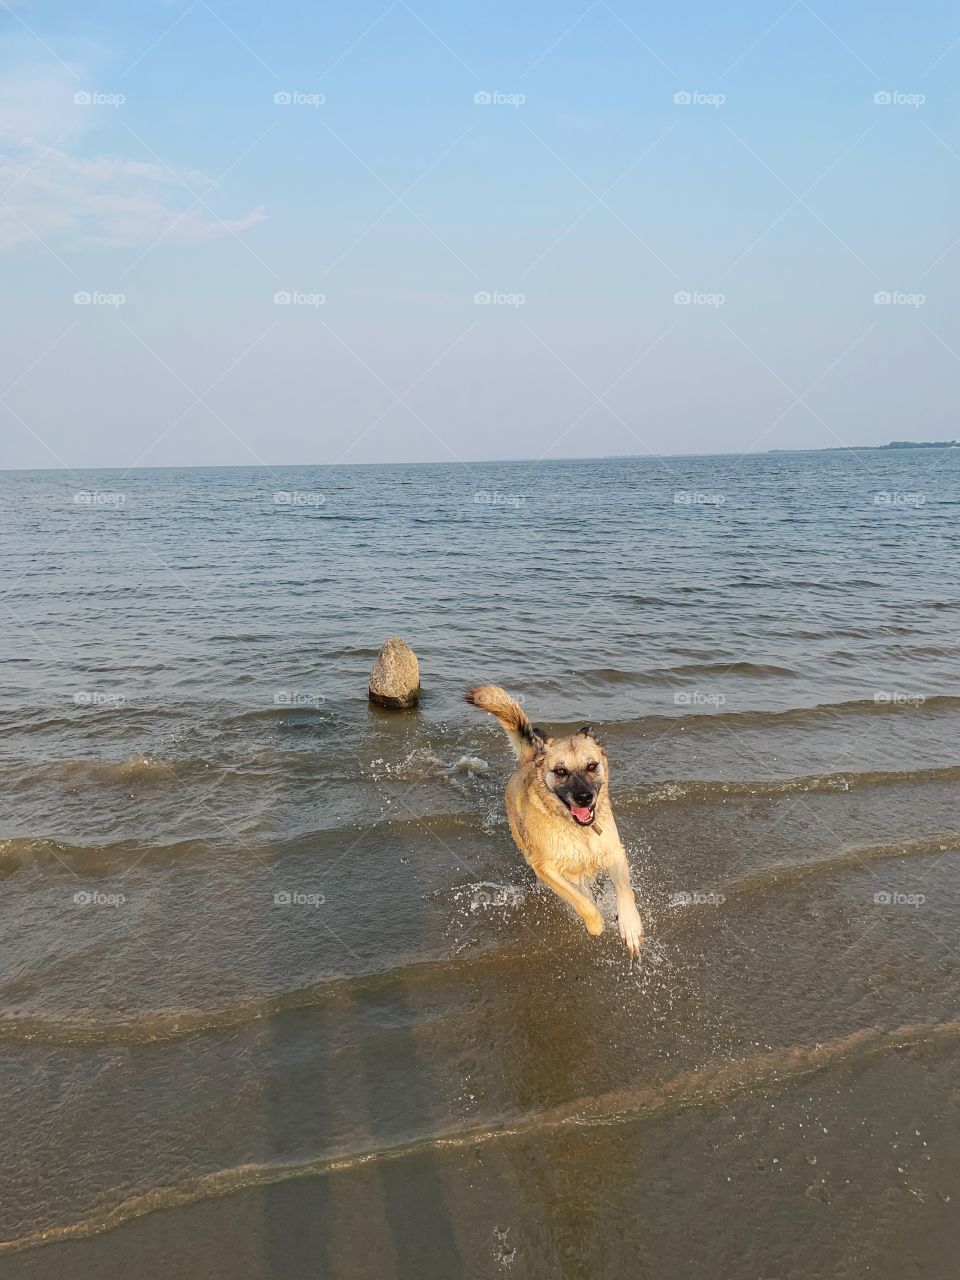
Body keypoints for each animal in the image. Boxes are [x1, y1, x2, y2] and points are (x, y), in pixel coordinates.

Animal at [468, 686, 647, 957]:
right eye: (561, 771)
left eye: (592, 766)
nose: (584, 798)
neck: (578, 830)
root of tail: (531, 759)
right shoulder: (546, 867)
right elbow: (583, 903)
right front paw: (595, 923)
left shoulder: (614, 852)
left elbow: (625, 890)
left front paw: (630, 926)